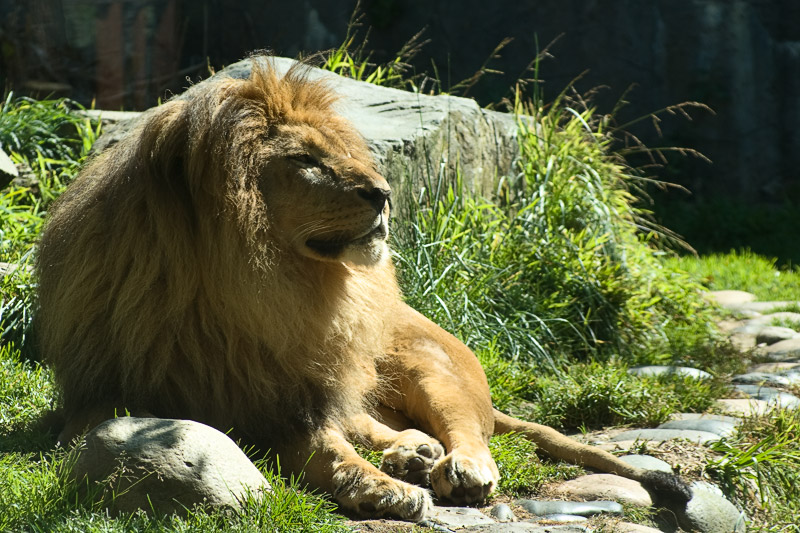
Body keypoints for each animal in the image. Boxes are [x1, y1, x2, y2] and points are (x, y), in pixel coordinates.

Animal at [36, 58, 691, 521]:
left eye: (340, 153)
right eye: (305, 160)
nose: (383, 192)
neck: (245, 298)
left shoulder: (298, 399)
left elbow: (332, 449)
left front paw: (380, 488)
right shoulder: (99, 401)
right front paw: (386, 483)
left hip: (430, 366)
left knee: (466, 430)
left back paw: (453, 468)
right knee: (387, 428)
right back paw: (412, 456)